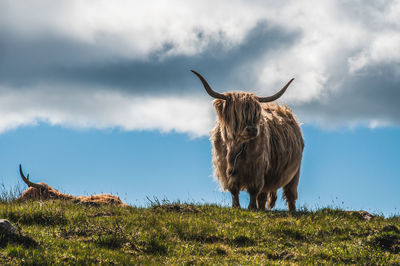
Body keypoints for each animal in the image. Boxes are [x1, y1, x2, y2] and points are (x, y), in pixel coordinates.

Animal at [192, 70, 304, 210]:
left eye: (256, 114)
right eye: (237, 114)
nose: (253, 130)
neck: (235, 146)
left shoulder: (257, 167)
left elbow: (253, 189)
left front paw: (251, 207)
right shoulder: (226, 169)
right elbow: (234, 189)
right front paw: (236, 206)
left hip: (295, 173)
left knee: (290, 194)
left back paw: (291, 210)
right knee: (263, 196)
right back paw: (261, 208)